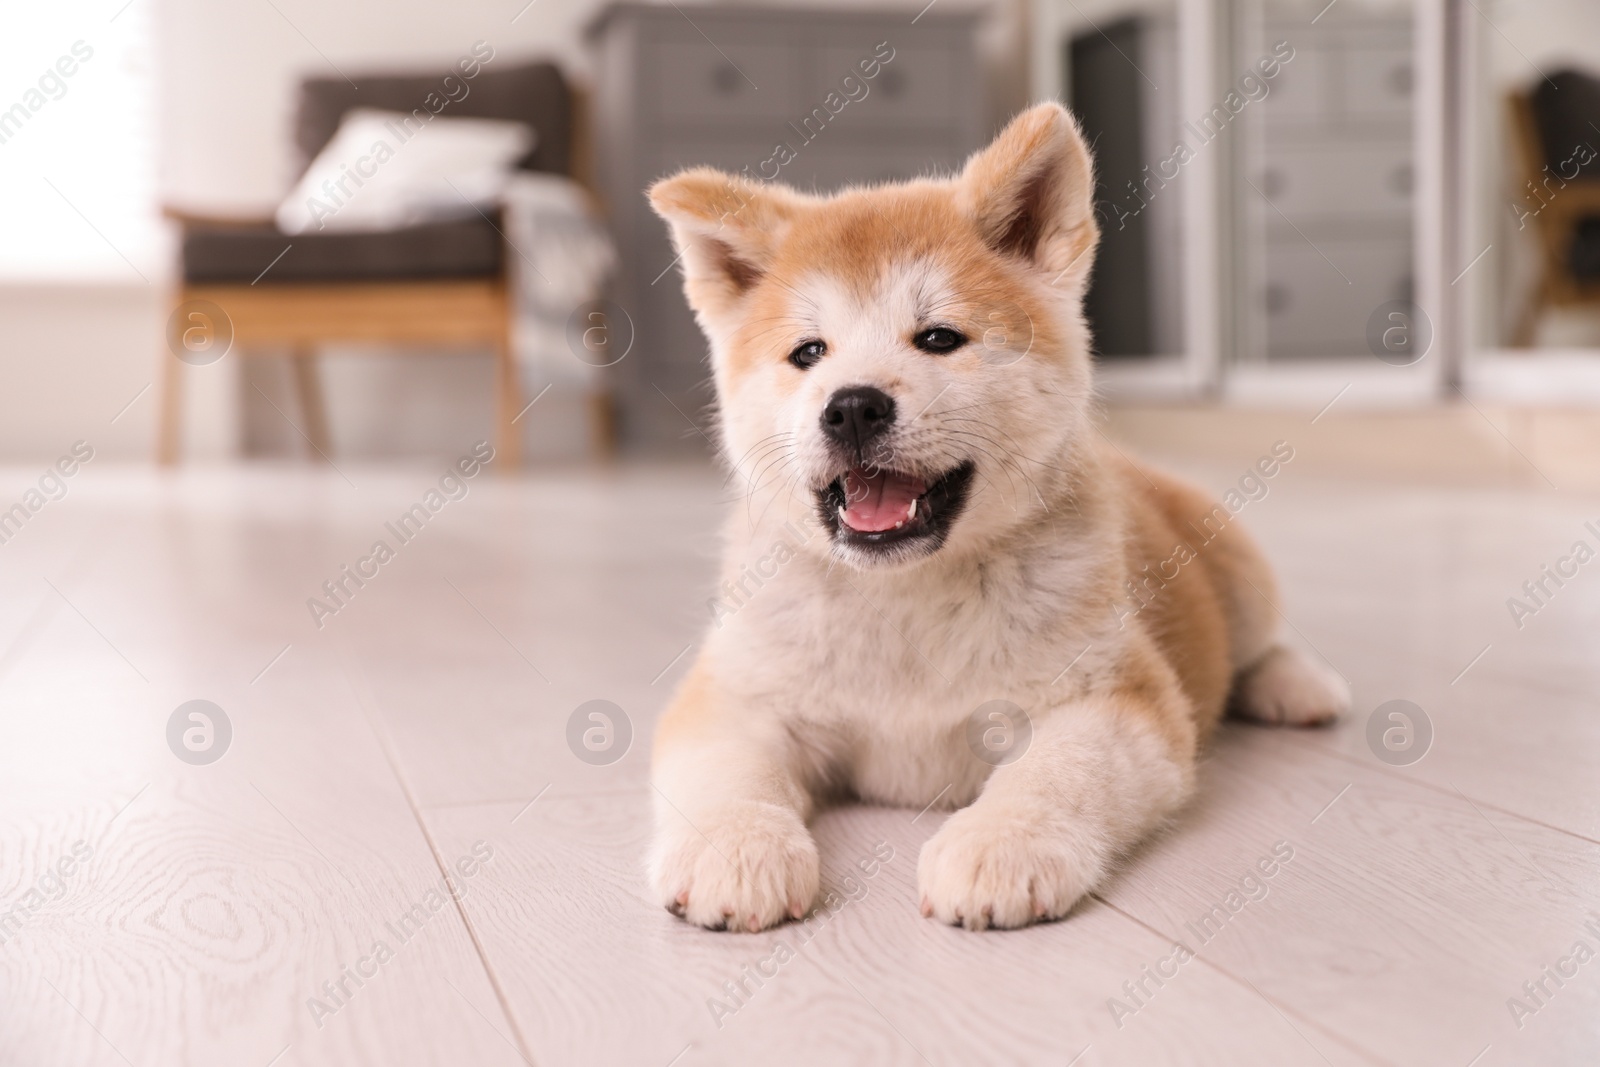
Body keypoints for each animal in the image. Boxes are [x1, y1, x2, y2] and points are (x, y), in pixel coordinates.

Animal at [643, 102, 1344, 934]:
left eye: (940, 338)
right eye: (808, 353)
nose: (851, 405)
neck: (904, 598)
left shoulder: (1113, 698)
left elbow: (1055, 772)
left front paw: (1000, 844)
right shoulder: (735, 696)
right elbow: (727, 773)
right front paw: (737, 846)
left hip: (1237, 569)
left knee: (1264, 640)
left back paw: (1297, 686)